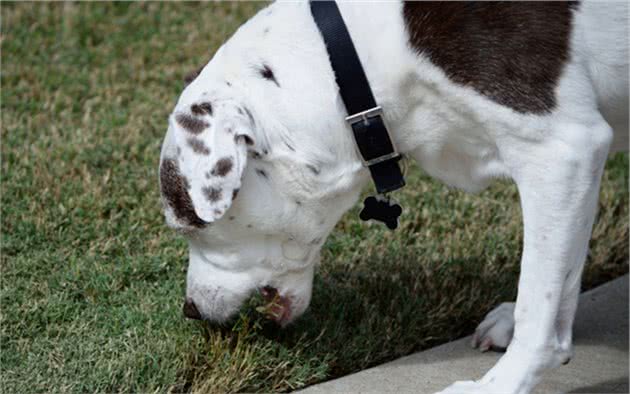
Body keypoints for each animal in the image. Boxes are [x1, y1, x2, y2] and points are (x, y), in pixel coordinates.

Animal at [159, 1, 630, 392]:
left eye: (187, 223)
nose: (189, 310)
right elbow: (557, 281)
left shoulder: (561, 151)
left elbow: (539, 301)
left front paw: (501, 383)